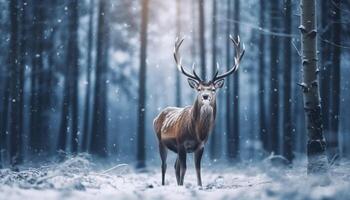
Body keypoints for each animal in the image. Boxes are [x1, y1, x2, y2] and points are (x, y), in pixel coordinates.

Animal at [152, 35, 245, 186]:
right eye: (199, 89)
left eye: (213, 89)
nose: (205, 96)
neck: (197, 133)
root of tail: (156, 117)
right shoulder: (181, 143)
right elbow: (184, 169)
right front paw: (182, 186)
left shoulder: (200, 146)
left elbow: (197, 169)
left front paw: (199, 186)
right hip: (161, 141)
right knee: (164, 166)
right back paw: (164, 184)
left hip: (176, 149)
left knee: (175, 166)